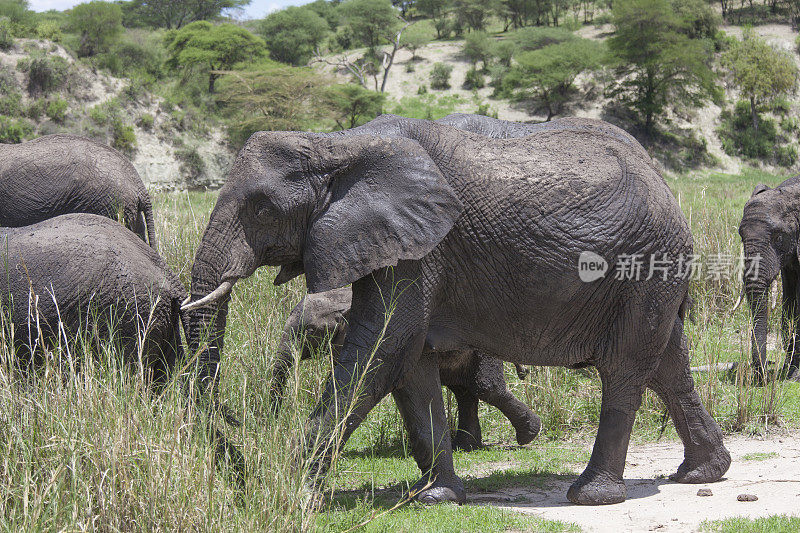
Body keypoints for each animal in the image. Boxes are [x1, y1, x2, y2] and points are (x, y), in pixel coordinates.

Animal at [272, 284, 540, 450]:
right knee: (463, 390)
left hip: (483, 345)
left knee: (485, 387)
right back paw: (464, 447)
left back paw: (527, 435)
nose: (272, 424)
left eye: (310, 331)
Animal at [736, 177, 800, 380]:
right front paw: (790, 371)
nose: (763, 377)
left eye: (779, 238)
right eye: (741, 237)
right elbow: (789, 306)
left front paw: (794, 376)